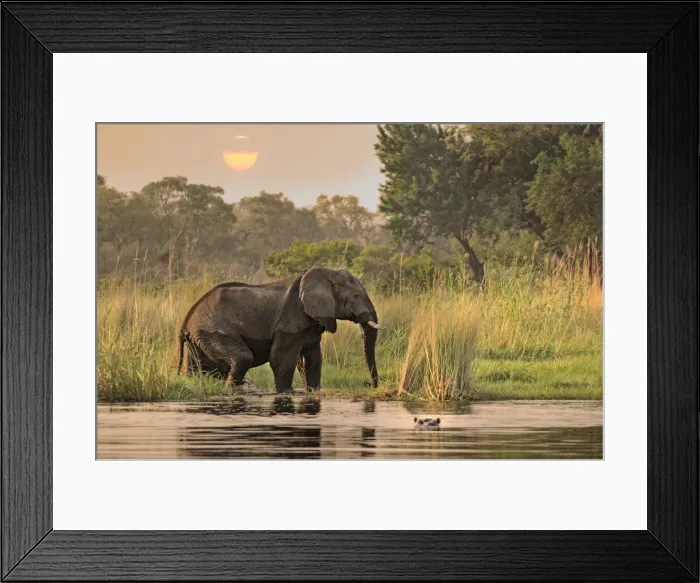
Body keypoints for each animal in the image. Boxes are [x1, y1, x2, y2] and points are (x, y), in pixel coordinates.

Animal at [176, 267, 385, 392]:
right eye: (356, 296)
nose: (368, 384)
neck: (327, 274)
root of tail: (186, 321)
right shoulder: (290, 322)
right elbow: (282, 361)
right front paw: (286, 393)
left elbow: (313, 360)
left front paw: (313, 392)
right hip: (214, 330)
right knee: (241, 359)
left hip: (199, 337)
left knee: (198, 367)